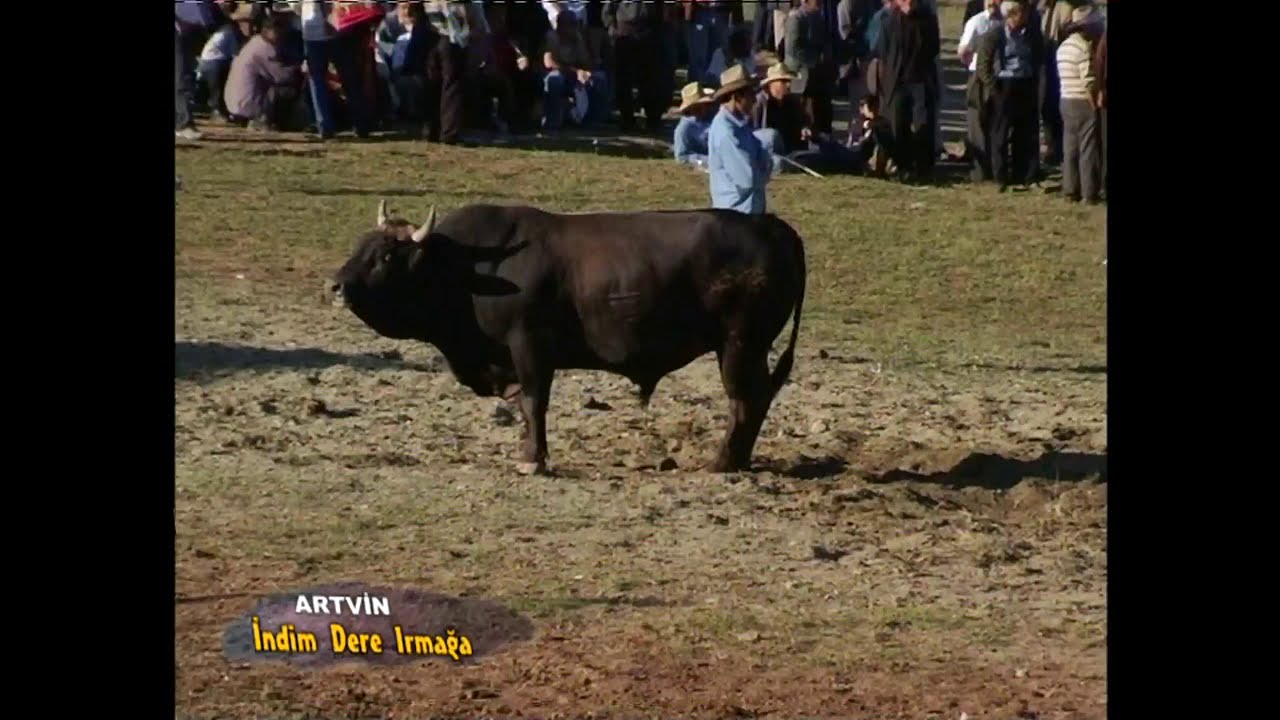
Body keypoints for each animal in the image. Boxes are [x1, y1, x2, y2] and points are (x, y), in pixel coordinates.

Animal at [332, 202, 808, 474]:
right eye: (359, 245)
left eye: (385, 256)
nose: (335, 285)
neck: (471, 268)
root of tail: (768, 224)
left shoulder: (528, 346)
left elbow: (533, 403)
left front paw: (532, 459)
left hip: (740, 344)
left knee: (745, 399)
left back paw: (723, 461)